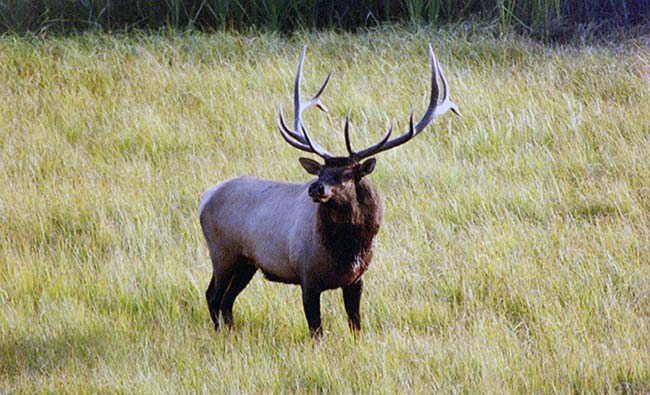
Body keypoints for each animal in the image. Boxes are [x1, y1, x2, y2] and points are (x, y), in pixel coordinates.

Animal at [197, 45, 456, 338]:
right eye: (320, 171)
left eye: (347, 174)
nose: (315, 188)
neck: (347, 250)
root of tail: (205, 197)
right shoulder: (307, 276)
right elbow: (316, 330)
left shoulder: (356, 279)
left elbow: (356, 323)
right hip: (222, 253)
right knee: (213, 295)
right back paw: (219, 333)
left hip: (247, 263)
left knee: (227, 300)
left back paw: (230, 333)